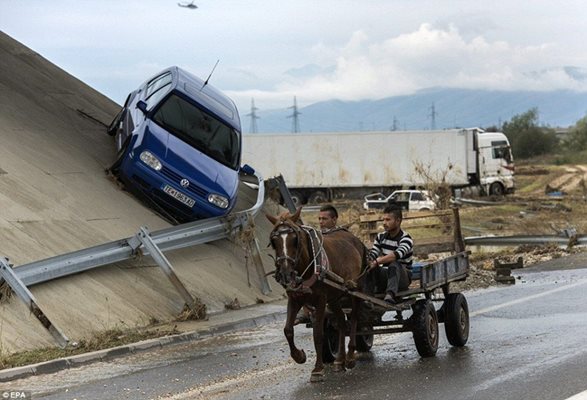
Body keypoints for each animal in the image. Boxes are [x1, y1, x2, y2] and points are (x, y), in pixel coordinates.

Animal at [268, 208, 370, 382]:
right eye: (274, 240)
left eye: (295, 239)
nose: (286, 273)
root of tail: (356, 239)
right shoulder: (294, 299)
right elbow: (287, 329)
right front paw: (299, 356)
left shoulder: (320, 300)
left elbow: (318, 334)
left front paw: (317, 369)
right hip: (335, 297)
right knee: (341, 322)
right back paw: (339, 360)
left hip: (357, 289)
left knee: (354, 319)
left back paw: (350, 357)